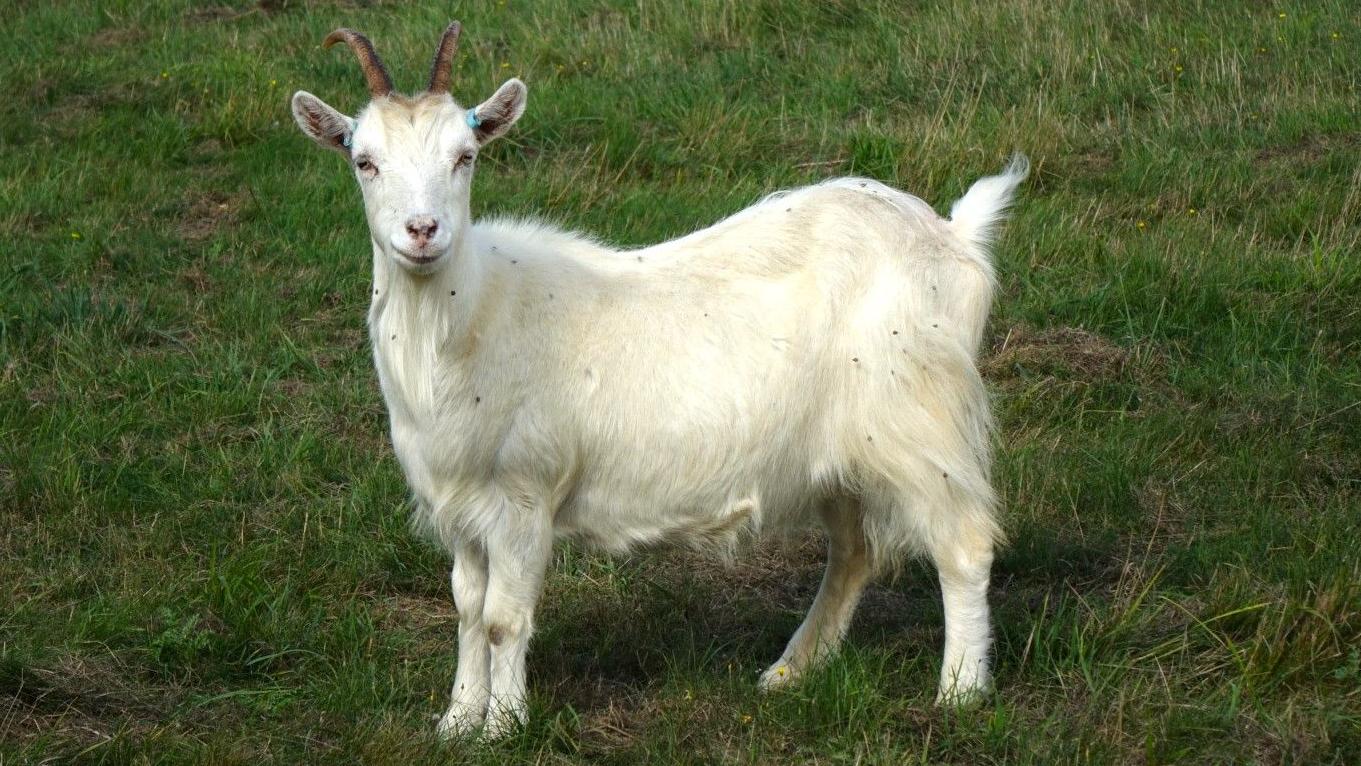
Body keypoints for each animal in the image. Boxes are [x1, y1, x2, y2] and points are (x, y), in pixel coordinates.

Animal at [291, 22, 1027, 739]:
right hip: (844, 452)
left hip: (919, 419)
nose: (423, 231)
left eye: (464, 155)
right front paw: (456, 721)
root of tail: (955, 236)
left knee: (963, 543)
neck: (469, 318)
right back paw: (790, 672)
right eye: (364, 160)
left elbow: (503, 618)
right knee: (854, 551)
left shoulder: (525, 492)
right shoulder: (459, 504)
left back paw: (959, 691)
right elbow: (468, 610)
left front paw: (503, 726)